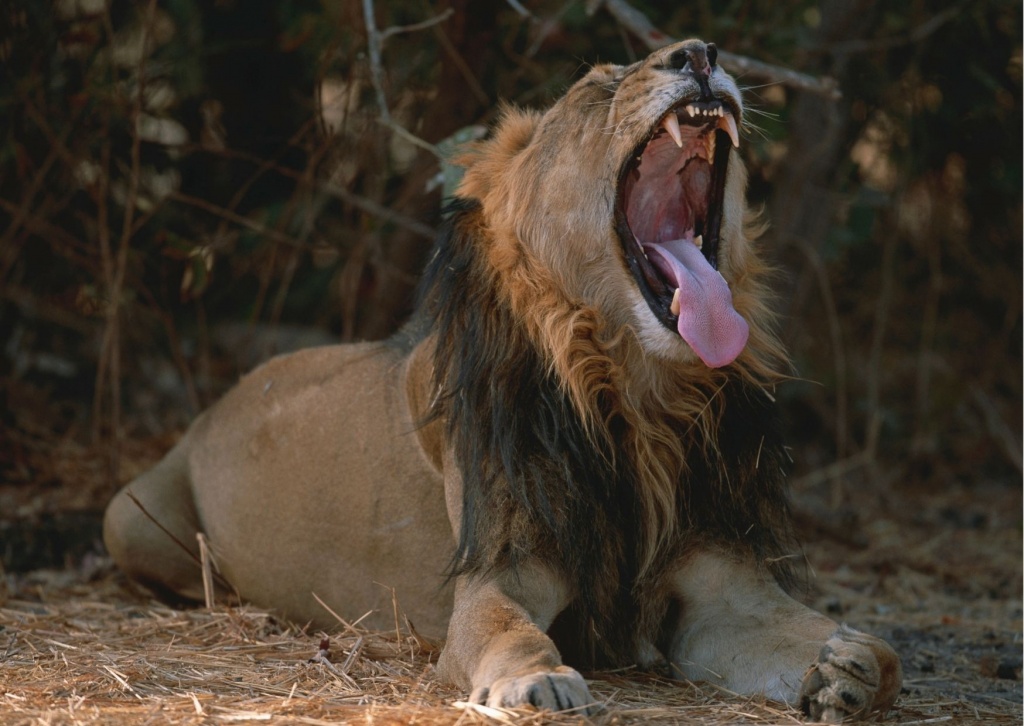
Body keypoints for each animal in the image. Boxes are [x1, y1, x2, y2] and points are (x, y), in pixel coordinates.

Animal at [103, 38, 901, 720]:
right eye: (597, 87)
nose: (701, 54)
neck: (639, 400)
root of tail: (216, 404)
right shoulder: (497, 572)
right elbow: (508, 631)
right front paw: (537, 682)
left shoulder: (724, 588)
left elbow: (841, 642)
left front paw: (855, 668)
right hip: (124, 517)